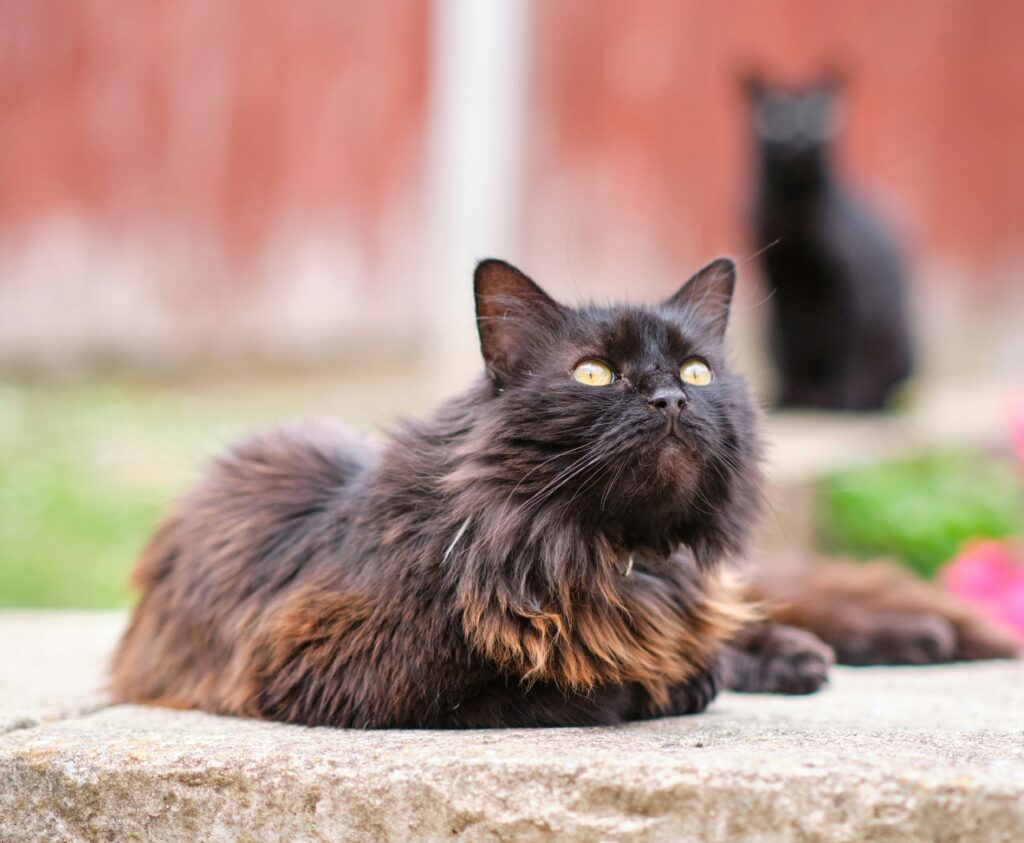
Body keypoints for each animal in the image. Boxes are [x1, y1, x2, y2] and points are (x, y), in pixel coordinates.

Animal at [112, 260, 1015, 729]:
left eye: (696, 371)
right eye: (593, 374)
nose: (670, 400)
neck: (608, 553)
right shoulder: (322, 662)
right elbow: (534, 687)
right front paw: (652, 683)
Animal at [745, 74, 913, 409]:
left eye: (815, 118)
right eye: (778, 121)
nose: (799, 141)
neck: (795, 219)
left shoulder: (847, 291)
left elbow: (844, 343)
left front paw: (841, 397)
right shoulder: (780, 285)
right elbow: (793, 341)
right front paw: (790, 396)